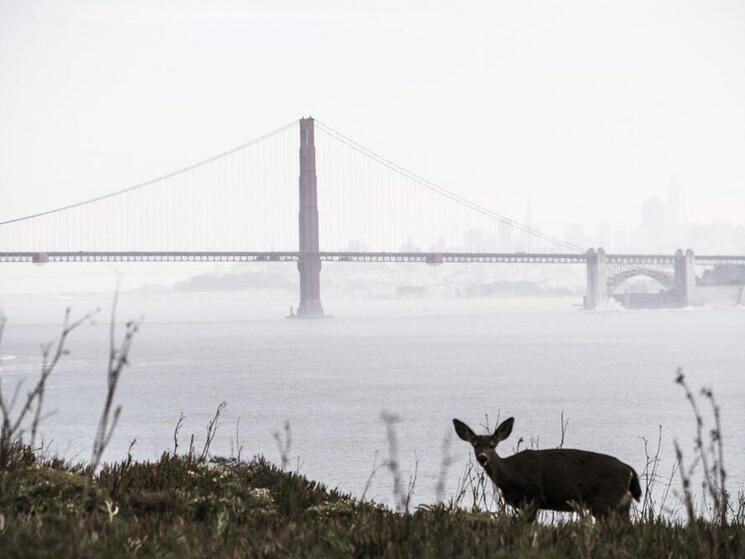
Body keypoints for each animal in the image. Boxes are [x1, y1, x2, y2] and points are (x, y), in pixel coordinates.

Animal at [450, 416, 644, 520]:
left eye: (492, 445)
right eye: (475, 445)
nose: (483, 458)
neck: (510, 476)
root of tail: (629, 470)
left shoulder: (533, 495)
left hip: (604, 501)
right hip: (622, 504)